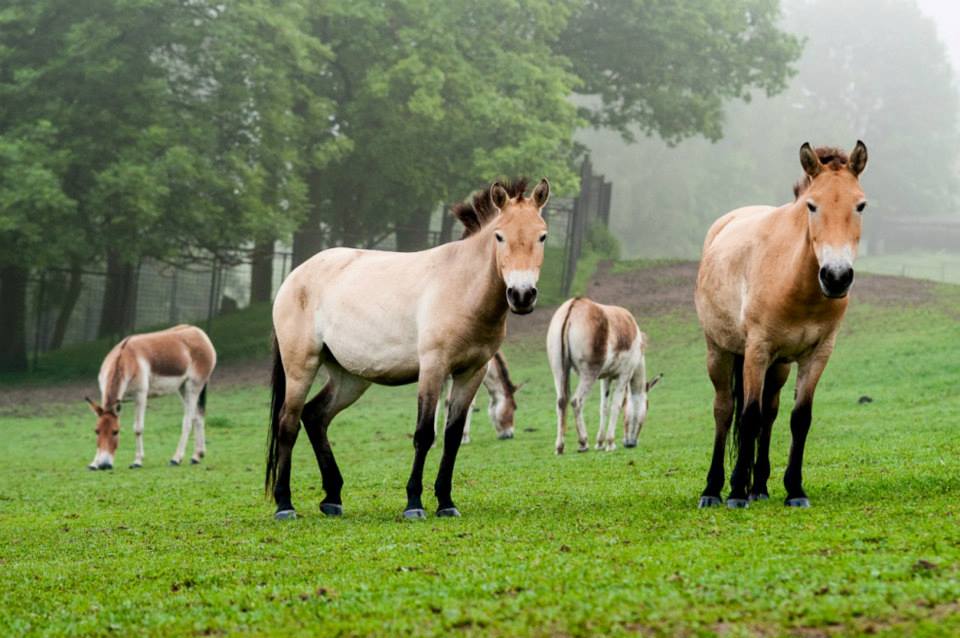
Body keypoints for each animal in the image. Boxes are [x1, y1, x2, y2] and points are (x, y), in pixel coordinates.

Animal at [85, 324, 217, 470]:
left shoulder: (140, 396)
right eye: (97, 431)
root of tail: (198, 332)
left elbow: (138, 428)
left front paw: (137, 461)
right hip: (183, 388)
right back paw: (197, 456)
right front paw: (94, 463)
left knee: (188, 421)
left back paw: (176, 459)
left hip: (193, 386)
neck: (125, 358)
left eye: (116, 432)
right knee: (198, 416)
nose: (104, 465)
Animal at [264, 178, 548, 524]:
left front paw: (446, 502)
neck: (461, 287)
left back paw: (332, 498)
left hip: (350, 378)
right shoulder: (433, 368)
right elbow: (424, 434)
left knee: (315, 416)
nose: (522, 295)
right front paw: (414, 503)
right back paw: (284, 504)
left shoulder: (472, 372)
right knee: (287, 424)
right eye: (499, 236)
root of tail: (294, 277)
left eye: (542, 235)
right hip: (300, 367)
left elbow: (453, 437)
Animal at [548, 298, 660, 456]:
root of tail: (575, 304)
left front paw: (600, 443)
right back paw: (583, 443)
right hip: (589, 373)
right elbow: (615, 406)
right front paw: (610, 443)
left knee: (561, 402)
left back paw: (559, 447)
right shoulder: (624, 376)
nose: (631, 444)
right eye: (647, 408)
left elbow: (604, 407)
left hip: (559, 370)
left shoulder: (606, 378)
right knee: (576, 401)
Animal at [696, 141, 872, 510]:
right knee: (724, 411)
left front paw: (795, 490)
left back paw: (760, 487)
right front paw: (736, 493)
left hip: (779, 367)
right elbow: (747, 416)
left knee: (771, 411)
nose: (836, 277)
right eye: (811, 205)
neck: (795, 283)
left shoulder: (817, 354)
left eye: (860, 205)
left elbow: (799, 418)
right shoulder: (756, 351)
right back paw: (713, 490)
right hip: (719, 352)